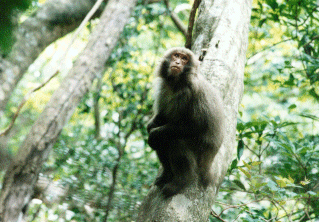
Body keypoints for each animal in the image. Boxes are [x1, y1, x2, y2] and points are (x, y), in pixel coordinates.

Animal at [147, 47, 225, 198]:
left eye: (184, 59)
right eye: (176, 55)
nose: (177, 62)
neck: (176, 83)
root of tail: (209, 161)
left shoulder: (190, 91)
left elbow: (196, 126)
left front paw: (156, 132)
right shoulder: (164, 87)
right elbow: (163, 117)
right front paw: (151, 124)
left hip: (201, 151)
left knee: (176, 141)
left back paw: (181, 181)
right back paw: (167, 174)